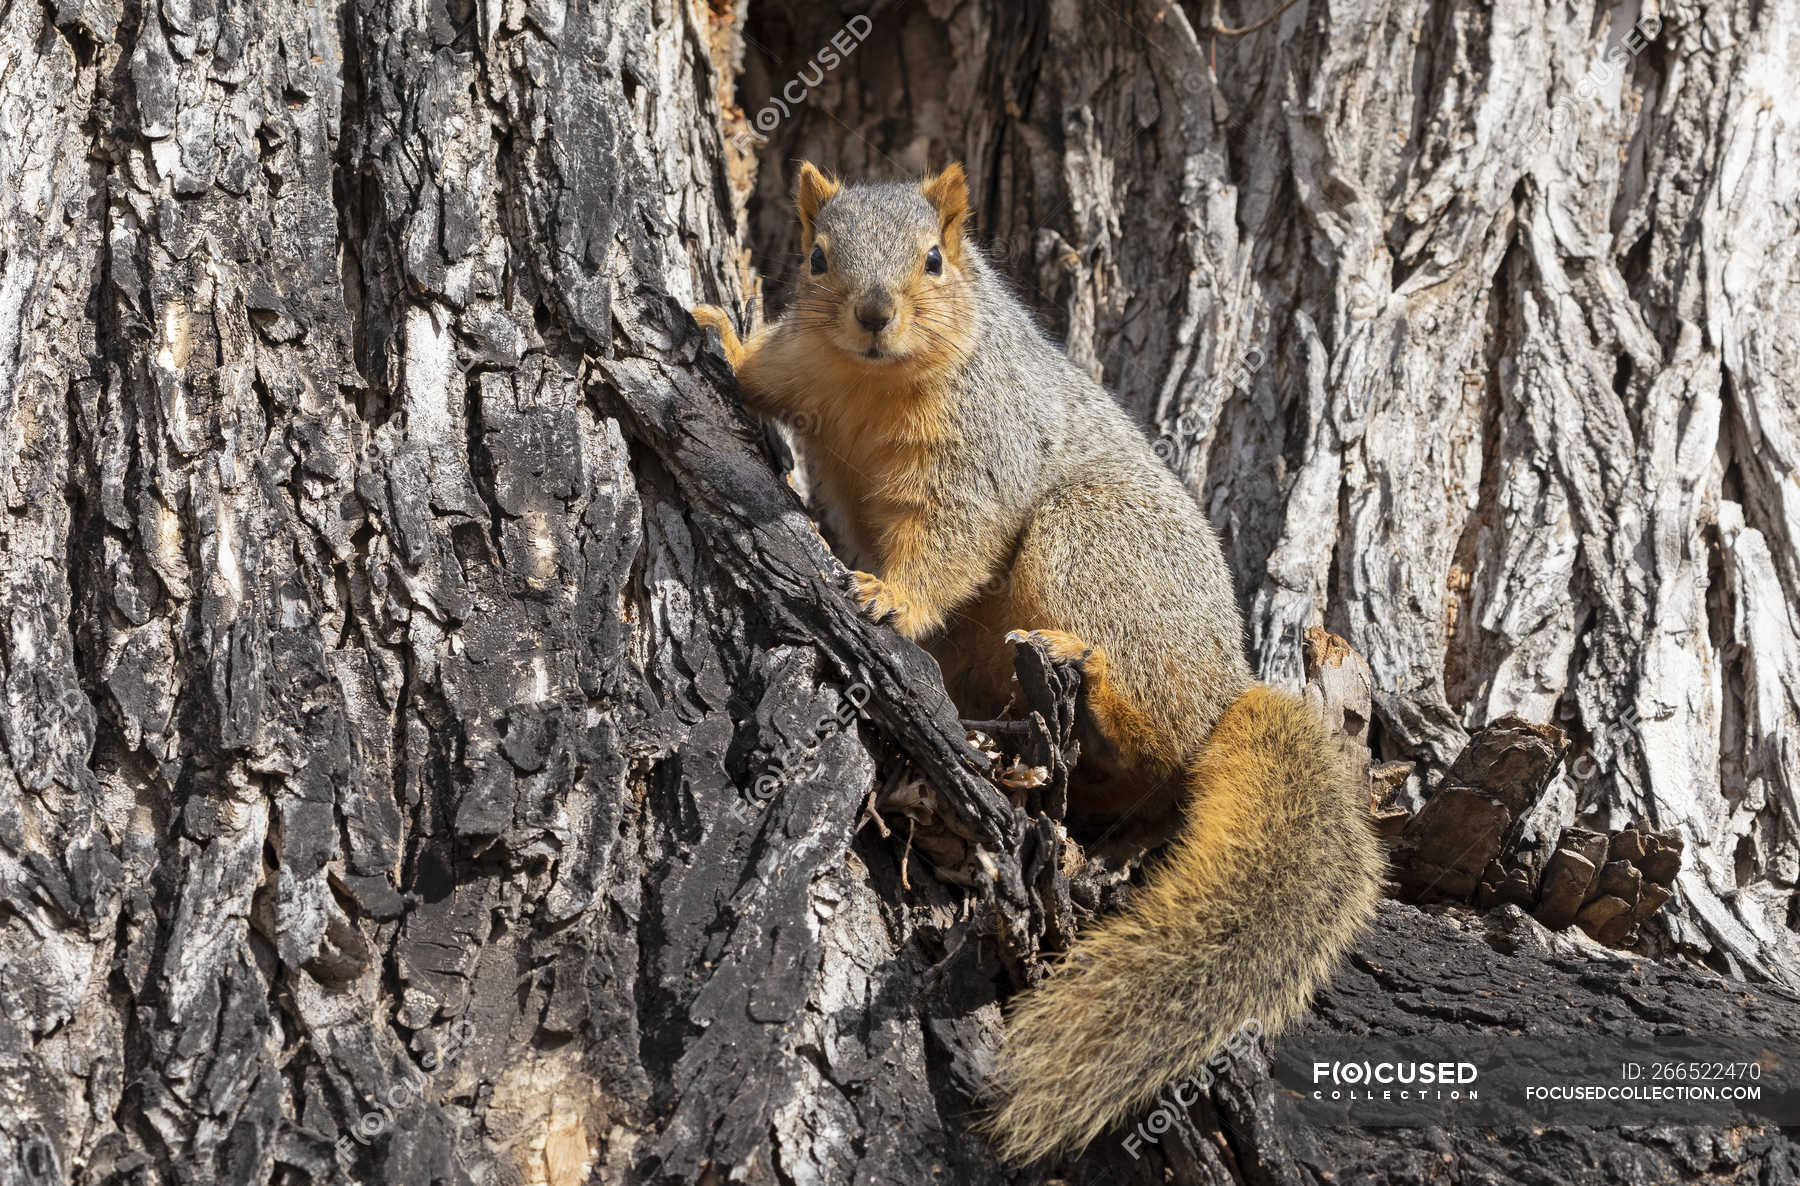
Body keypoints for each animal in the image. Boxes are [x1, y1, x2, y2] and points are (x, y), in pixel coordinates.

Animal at [694, 161, 1382, 1166]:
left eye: (934, 259)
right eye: (818, 257)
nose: (871, 313)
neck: (870, 380)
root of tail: (1226, 689)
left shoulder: (980, 449)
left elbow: (953, 541)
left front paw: (892, 601)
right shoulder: (804, 366)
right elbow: (761, 374)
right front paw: (715, 332)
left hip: (1087, 544)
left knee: (1157, 737)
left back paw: (1088, 677)